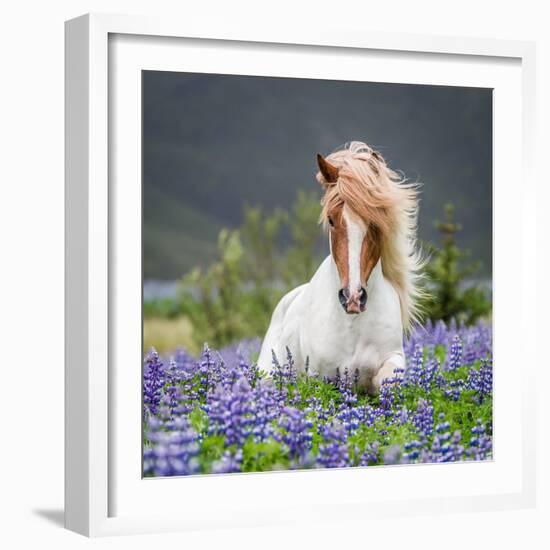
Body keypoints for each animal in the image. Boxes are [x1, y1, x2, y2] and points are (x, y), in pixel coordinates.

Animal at [258, 140, 426, 394]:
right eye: (330, 219)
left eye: (376, 222)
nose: (353, 297)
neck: (352, 325)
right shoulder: (321, 376)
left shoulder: (392, 358)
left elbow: (389, 381)